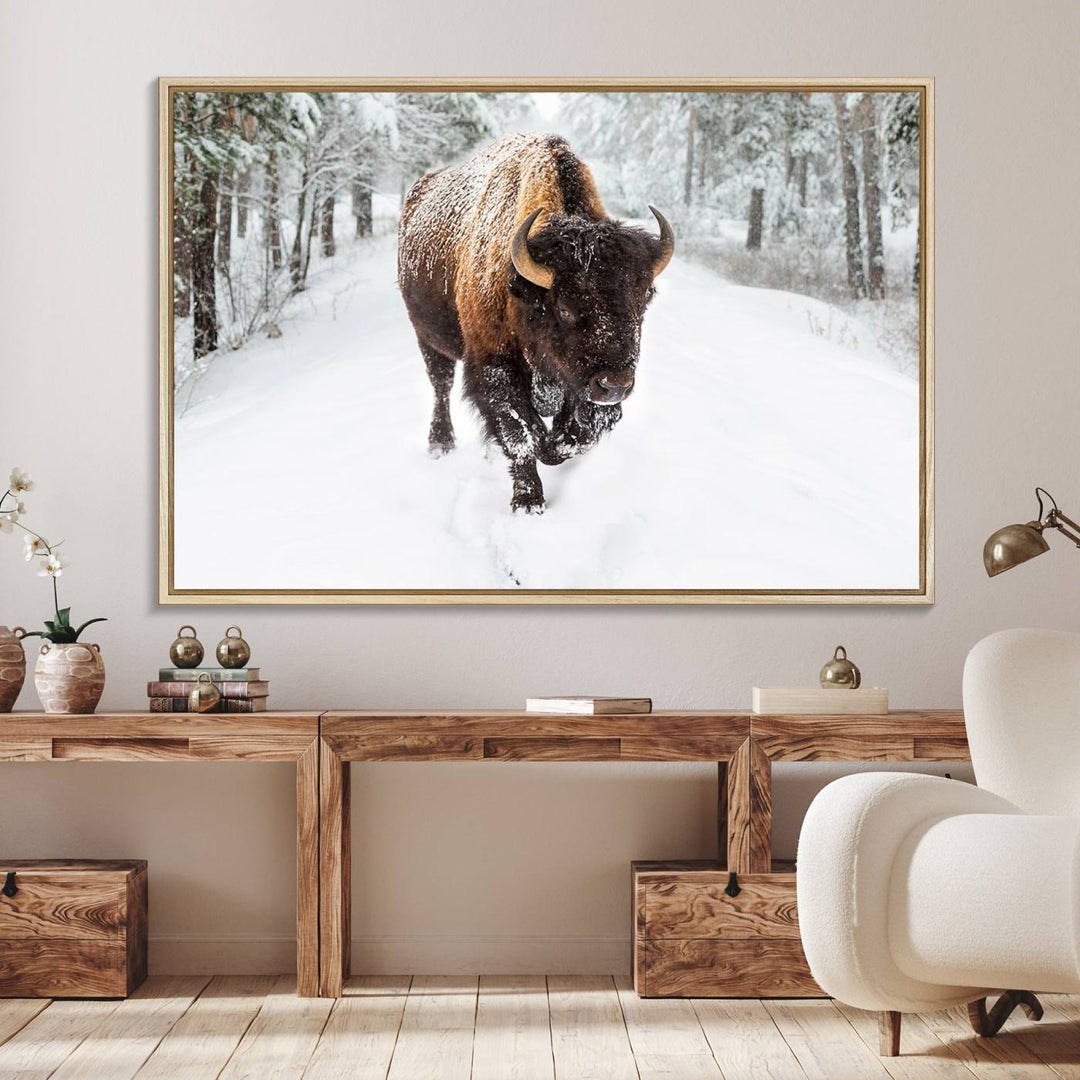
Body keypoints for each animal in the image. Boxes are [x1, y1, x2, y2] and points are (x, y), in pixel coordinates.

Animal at [399, 135, 673, 514]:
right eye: (565, 308)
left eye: (644, 299)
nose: (615, 385)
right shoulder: (494, 366)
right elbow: (521, 434)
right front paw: (528, 502)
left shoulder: (578, 385)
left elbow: (576, 435)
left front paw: (552, 448)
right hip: (427, 338)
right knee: (441, 385)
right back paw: (440, 444)